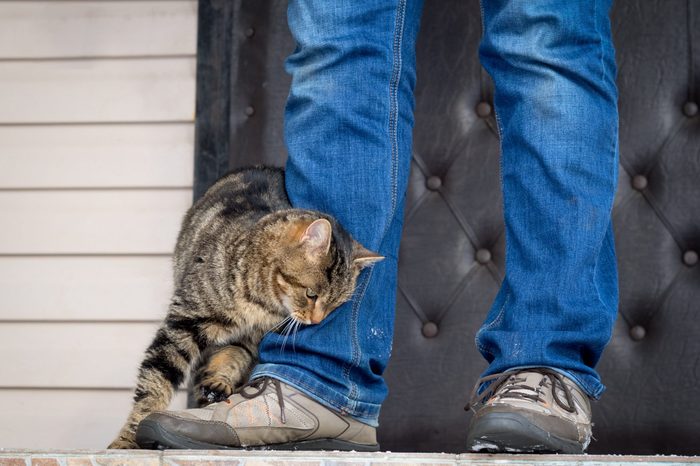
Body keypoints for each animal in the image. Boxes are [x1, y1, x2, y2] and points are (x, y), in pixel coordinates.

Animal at [108, 167, 382, 448]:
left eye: (335, 305)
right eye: (311, 294)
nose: (316, 321)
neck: (261, 303)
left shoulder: (253, 340)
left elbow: (234, 356)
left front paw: (219, 380)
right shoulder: (184, 322)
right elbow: (155, 382)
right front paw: (128, 439)